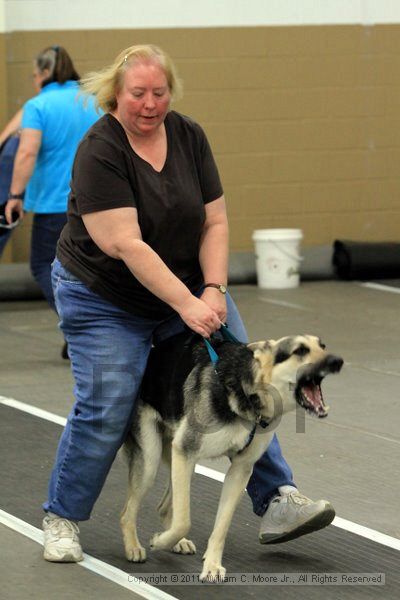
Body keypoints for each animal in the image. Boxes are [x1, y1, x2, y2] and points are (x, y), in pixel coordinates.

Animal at [120, 330, 342, 580]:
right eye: (300, 350)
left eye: (322, 346)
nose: (337, 361)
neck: (247, 392)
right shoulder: (185, 450)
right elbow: (184, 520)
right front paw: (159, 542)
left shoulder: (239, 470)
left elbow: (221, 526)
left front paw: (212, 565)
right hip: (151, 461)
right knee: (128, 512)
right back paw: (134, 547)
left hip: (185, 464)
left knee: (165, 507)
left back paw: (177, 542)